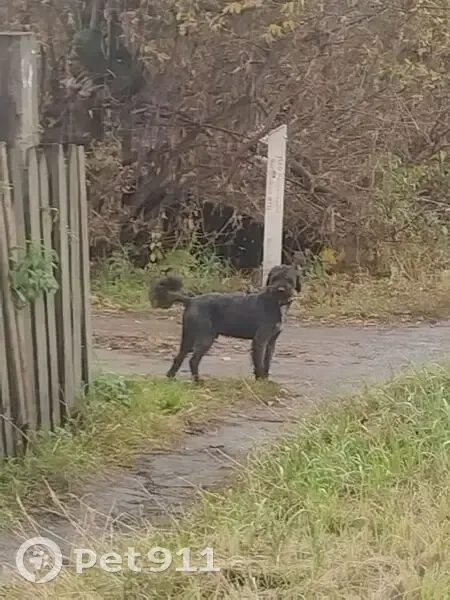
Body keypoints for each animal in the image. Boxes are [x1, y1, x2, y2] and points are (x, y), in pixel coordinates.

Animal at [149, 270, 296, 382]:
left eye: (290, 280)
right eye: (275, 278)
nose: (281, 289)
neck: (275, 302)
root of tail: (191, 300)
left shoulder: (271, 341)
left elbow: (267, 361)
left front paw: (265, 379)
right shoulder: (260, 340)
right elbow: (258, 362)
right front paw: (260, 380)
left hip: (188, 338)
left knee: (179, 357)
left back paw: (171, 377)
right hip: (205, 338)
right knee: (193, 360)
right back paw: (198, 381)